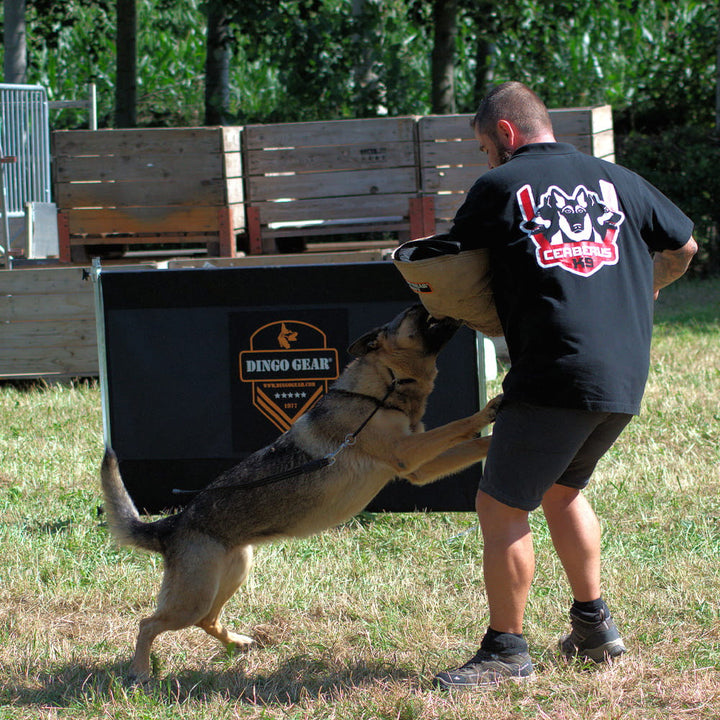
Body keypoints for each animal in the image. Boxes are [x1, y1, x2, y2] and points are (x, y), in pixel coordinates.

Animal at [100, 304, 500, 680]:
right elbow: (458, 426)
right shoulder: (407, 451)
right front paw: (487, 412)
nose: (422, 301)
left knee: (206, 620)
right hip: (194, 597)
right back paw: (140, 672)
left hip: (232, 574)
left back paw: (237, 643)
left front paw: (496, 435)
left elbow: (473, 443)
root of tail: (172, 525)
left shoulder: (419, 467)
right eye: (410, 316)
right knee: (148, 624)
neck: (381, 387)